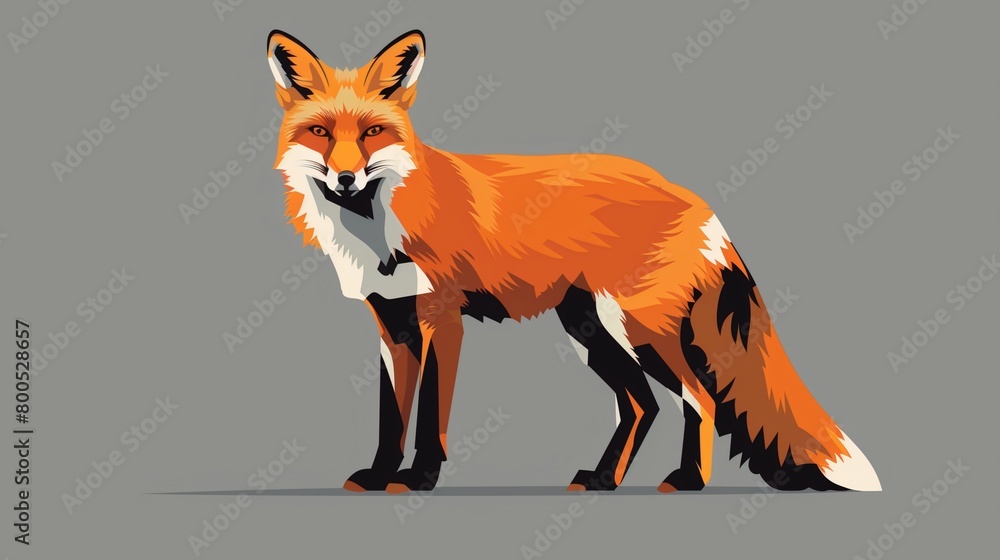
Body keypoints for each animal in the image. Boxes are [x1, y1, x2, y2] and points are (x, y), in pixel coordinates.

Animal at [265, 29, 881, 494]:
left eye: (372, 133)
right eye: (321, 132)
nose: (346, 177)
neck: (379, 227)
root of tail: (691, 195)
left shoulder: (442, 319)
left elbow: (430, 418)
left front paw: (419, 479)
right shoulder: (392, 326)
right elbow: (390, 417)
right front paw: (379, 476)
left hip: (635, 329)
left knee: (698, 399)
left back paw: (687, 480)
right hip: (589, 328)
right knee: (642, 406)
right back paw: (605, 479)